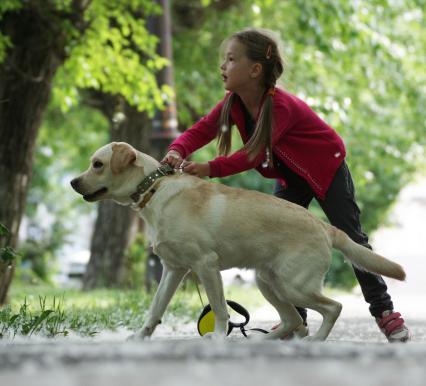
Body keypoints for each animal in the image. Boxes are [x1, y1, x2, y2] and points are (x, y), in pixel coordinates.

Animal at [70, 142, 406, 340]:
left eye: (97, 164)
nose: (73, 182)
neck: (154, 189)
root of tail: (323, 225)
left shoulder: (206, 266)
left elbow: (219, 309)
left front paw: (218, 338)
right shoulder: (173, 269)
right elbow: (155, 307)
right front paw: (140, 337)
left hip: (294, 285)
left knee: (332, 308)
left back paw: (316, 340)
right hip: (268, 282)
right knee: (292, 320)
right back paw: (265, 342)